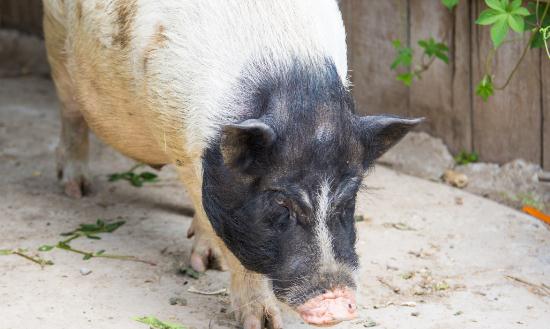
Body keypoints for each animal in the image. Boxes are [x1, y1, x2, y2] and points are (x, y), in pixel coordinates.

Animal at [44, 0, 422, 326]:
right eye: (280, 201)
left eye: (349, 197)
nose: (336, 304)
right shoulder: (185, 147)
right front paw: (262, 322)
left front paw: (207, 265)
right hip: (57, 40)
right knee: (70, 111)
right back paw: (77, 189)